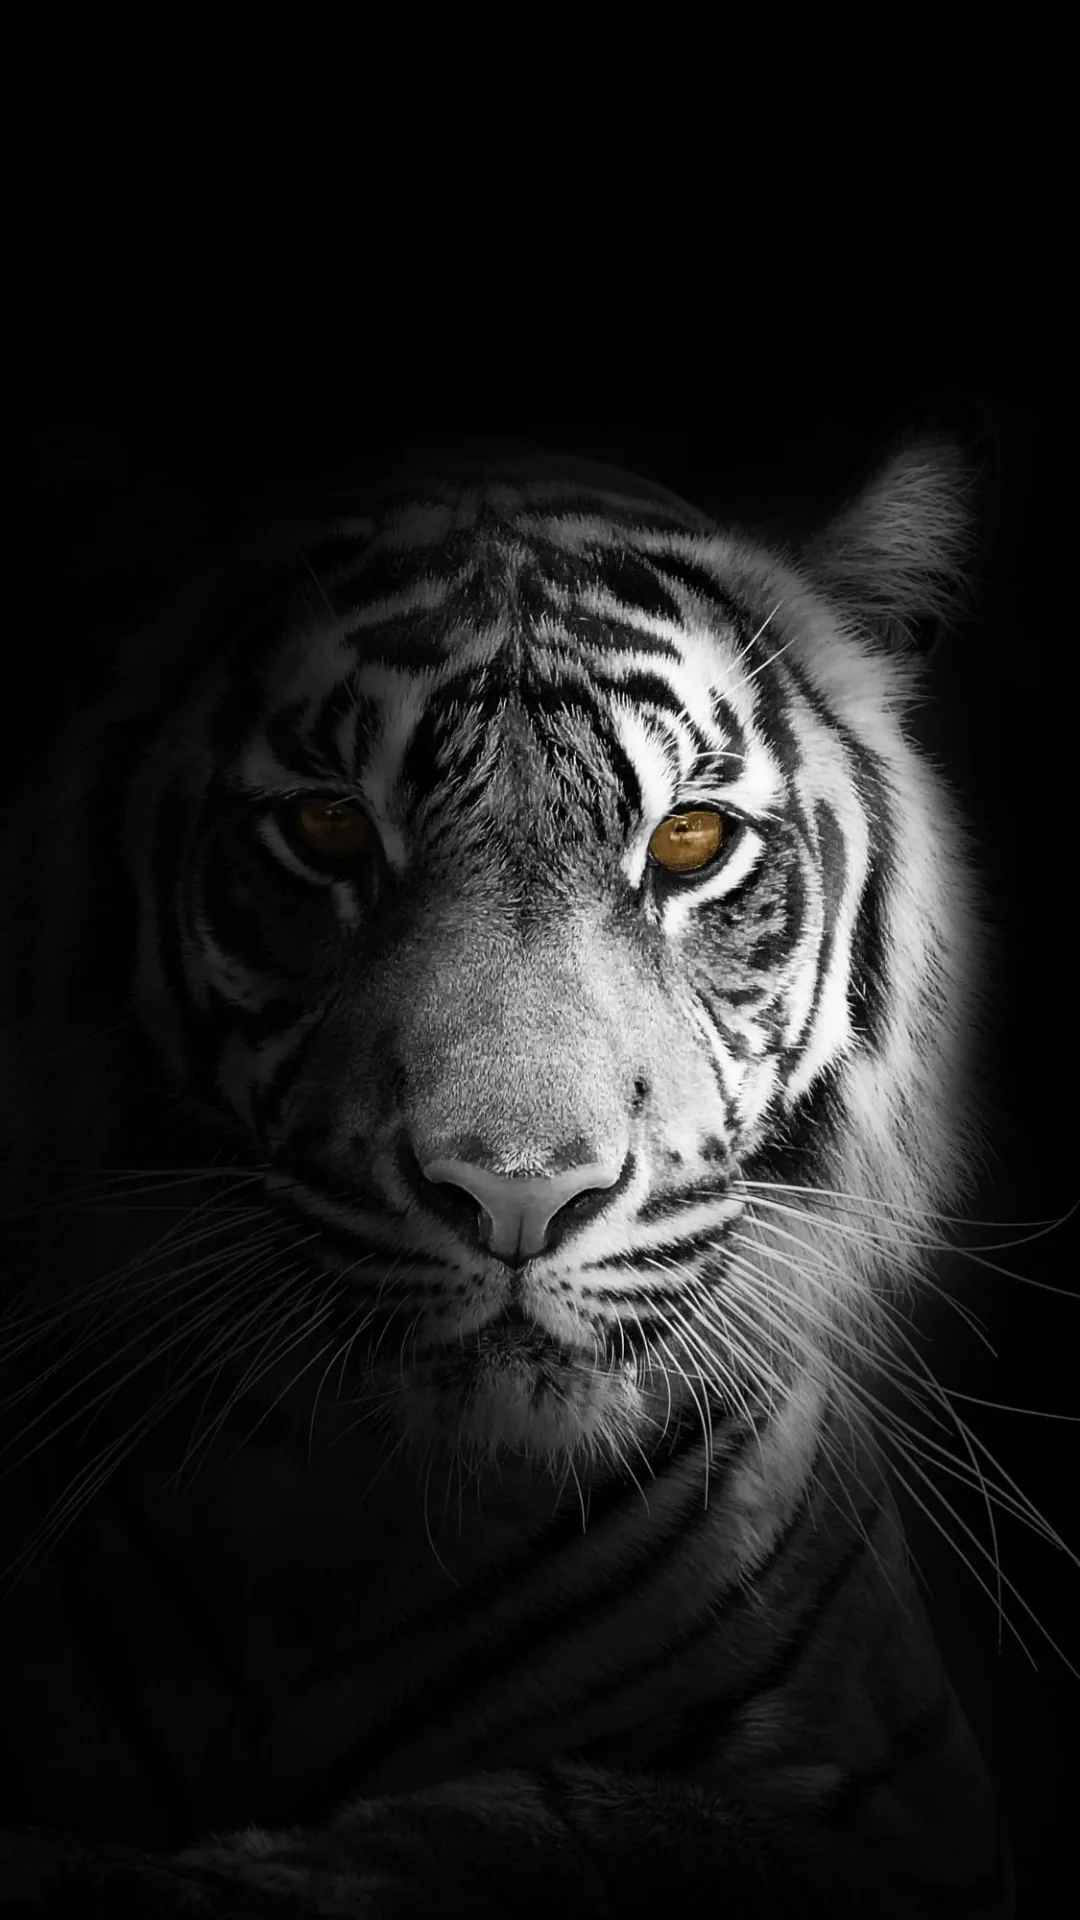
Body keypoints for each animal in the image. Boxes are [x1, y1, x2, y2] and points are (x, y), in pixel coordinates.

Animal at [0, 433, 1016, 1916]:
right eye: (326, 828)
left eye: (691, 843)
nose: (519, 1194)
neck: (373, 1524)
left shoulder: (893, 1808)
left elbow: (545, 1823)